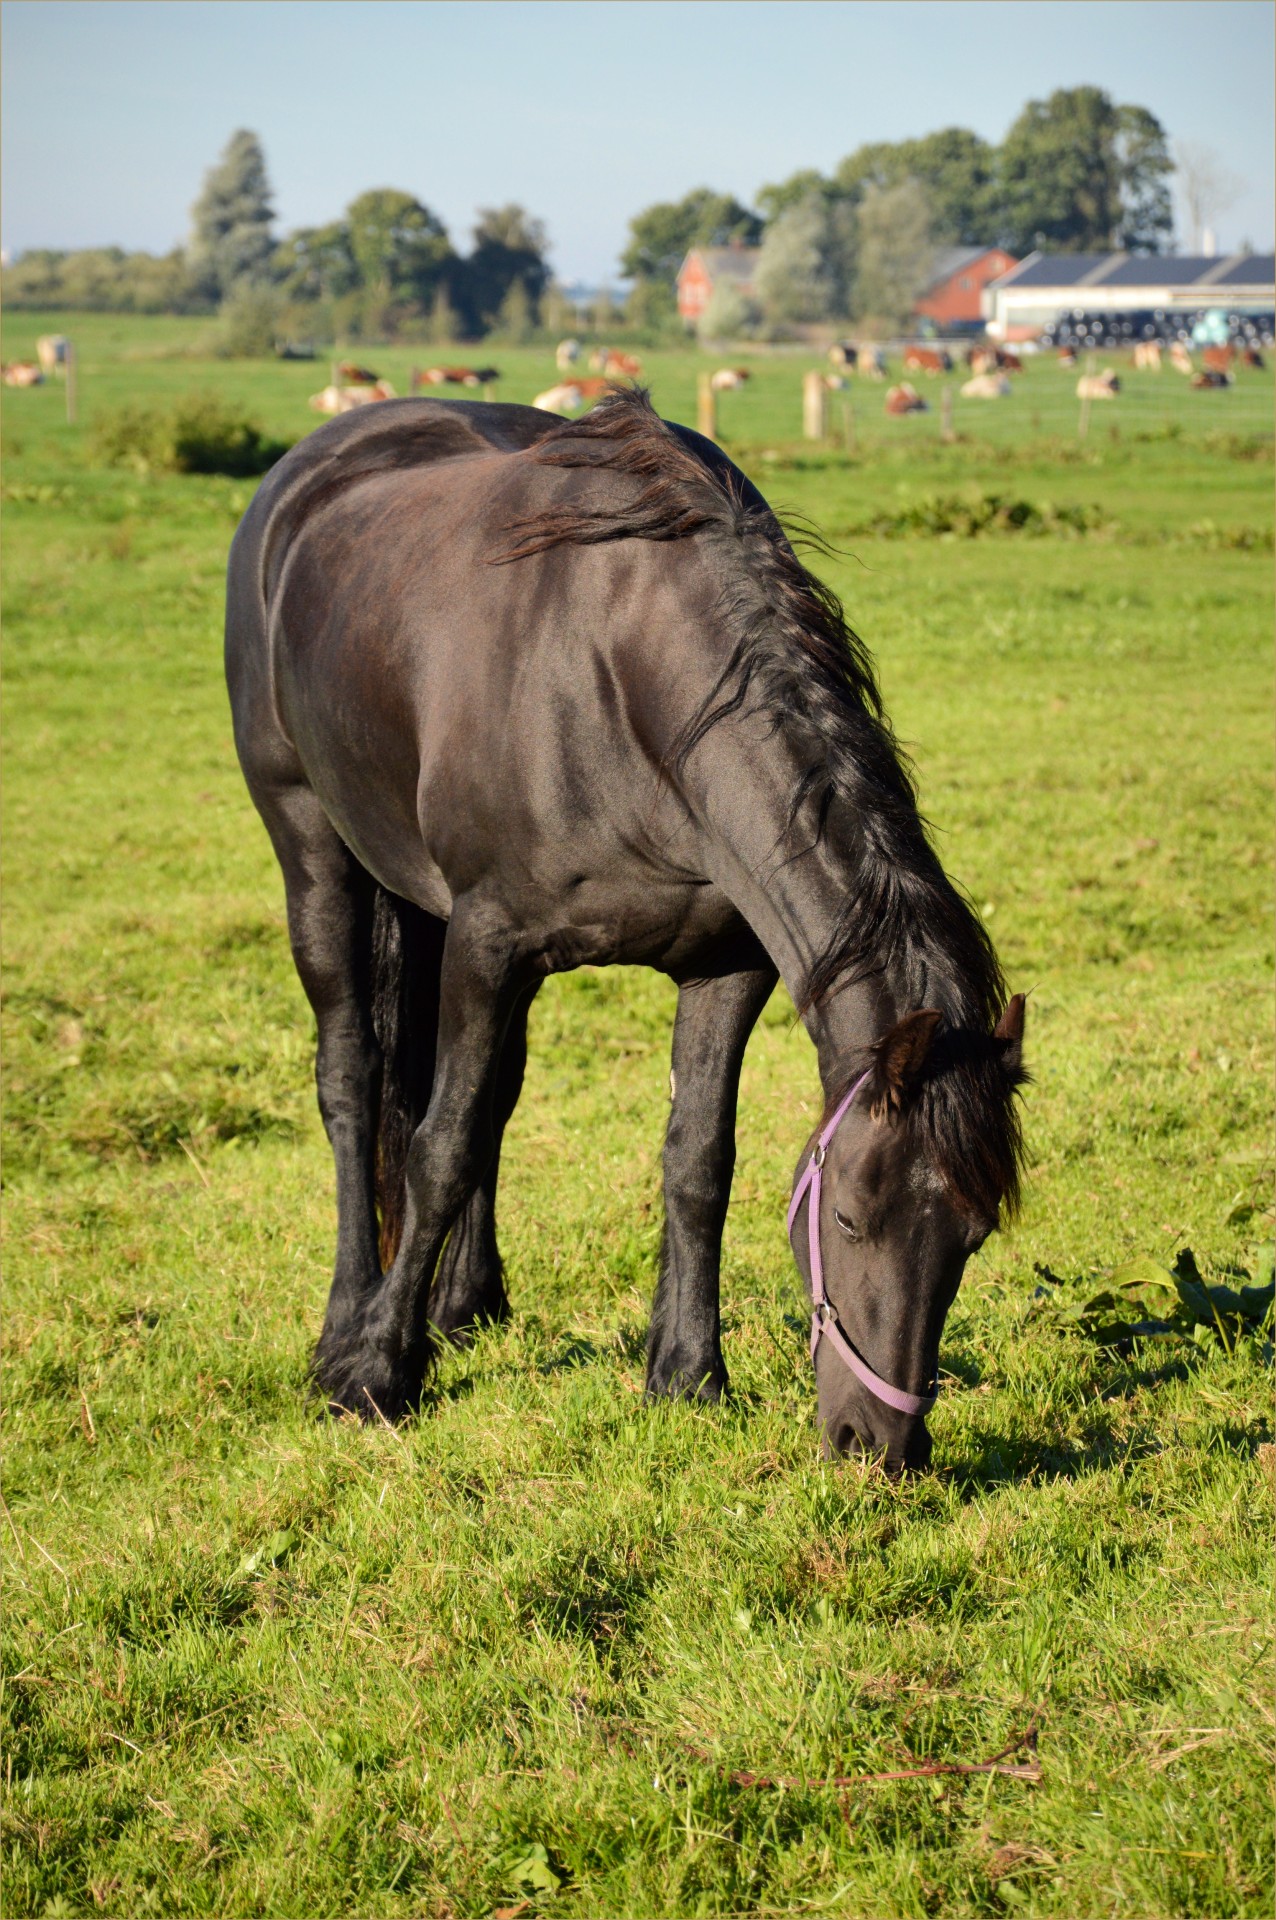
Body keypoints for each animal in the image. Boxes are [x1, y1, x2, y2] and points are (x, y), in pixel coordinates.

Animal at [226, 389, 1028, 1466]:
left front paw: (687, 1373)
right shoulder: (488, 942)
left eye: (970, 1236)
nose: (880, 1447)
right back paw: (348, 1320)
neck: (622, 674)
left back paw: (463, 1303)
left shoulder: (724, 965)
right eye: (854, 1219)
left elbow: (696, 1162)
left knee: (485, 1095)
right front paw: (375, 1375)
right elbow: (437, 1150)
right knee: (354, 1084)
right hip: (313, 850)